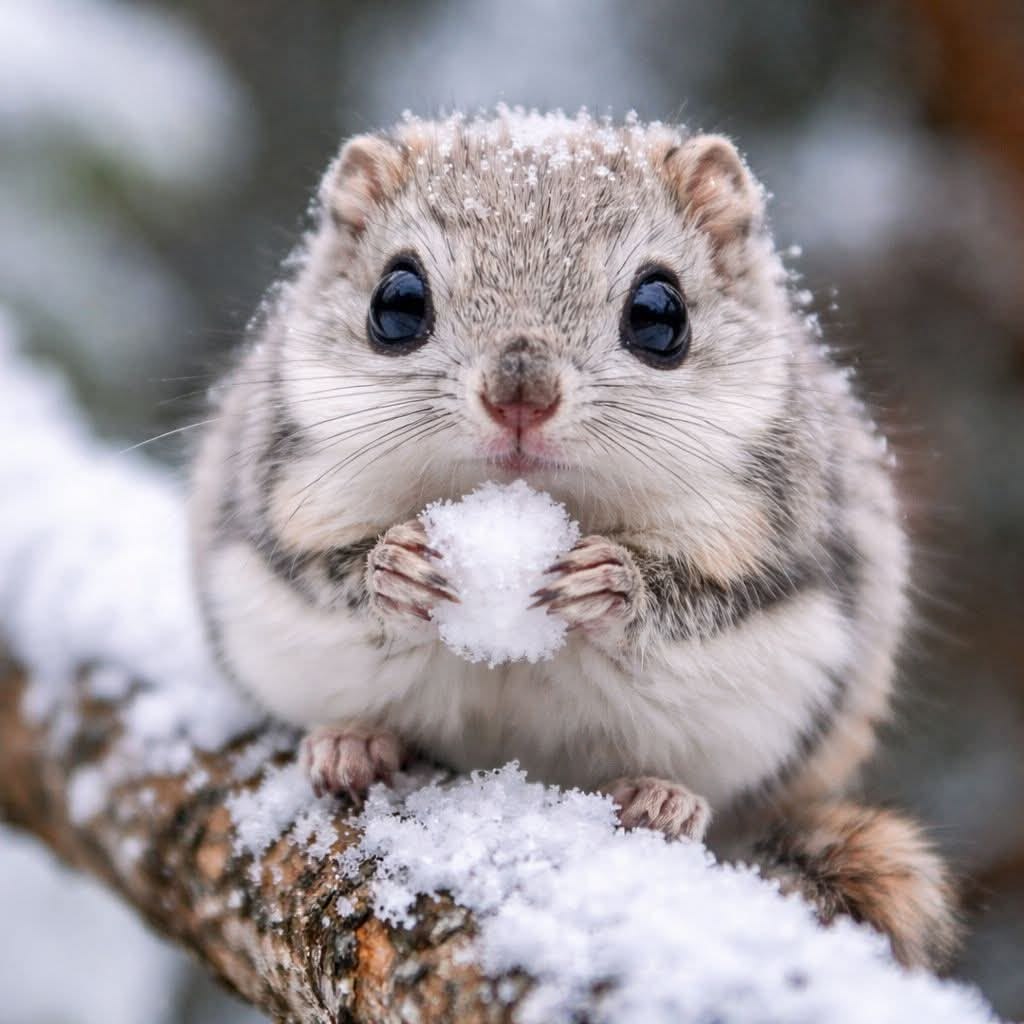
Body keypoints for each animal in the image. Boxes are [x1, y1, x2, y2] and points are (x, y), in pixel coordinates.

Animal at [189, 109, 958, 970]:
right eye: (396, 301)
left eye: (660, 313)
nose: (519, 394)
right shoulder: (277, 485)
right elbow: (319, 565)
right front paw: (396, 571)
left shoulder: (781, 519)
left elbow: (706, 595)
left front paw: (612, 583)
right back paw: (354, 745)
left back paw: (663, 799)